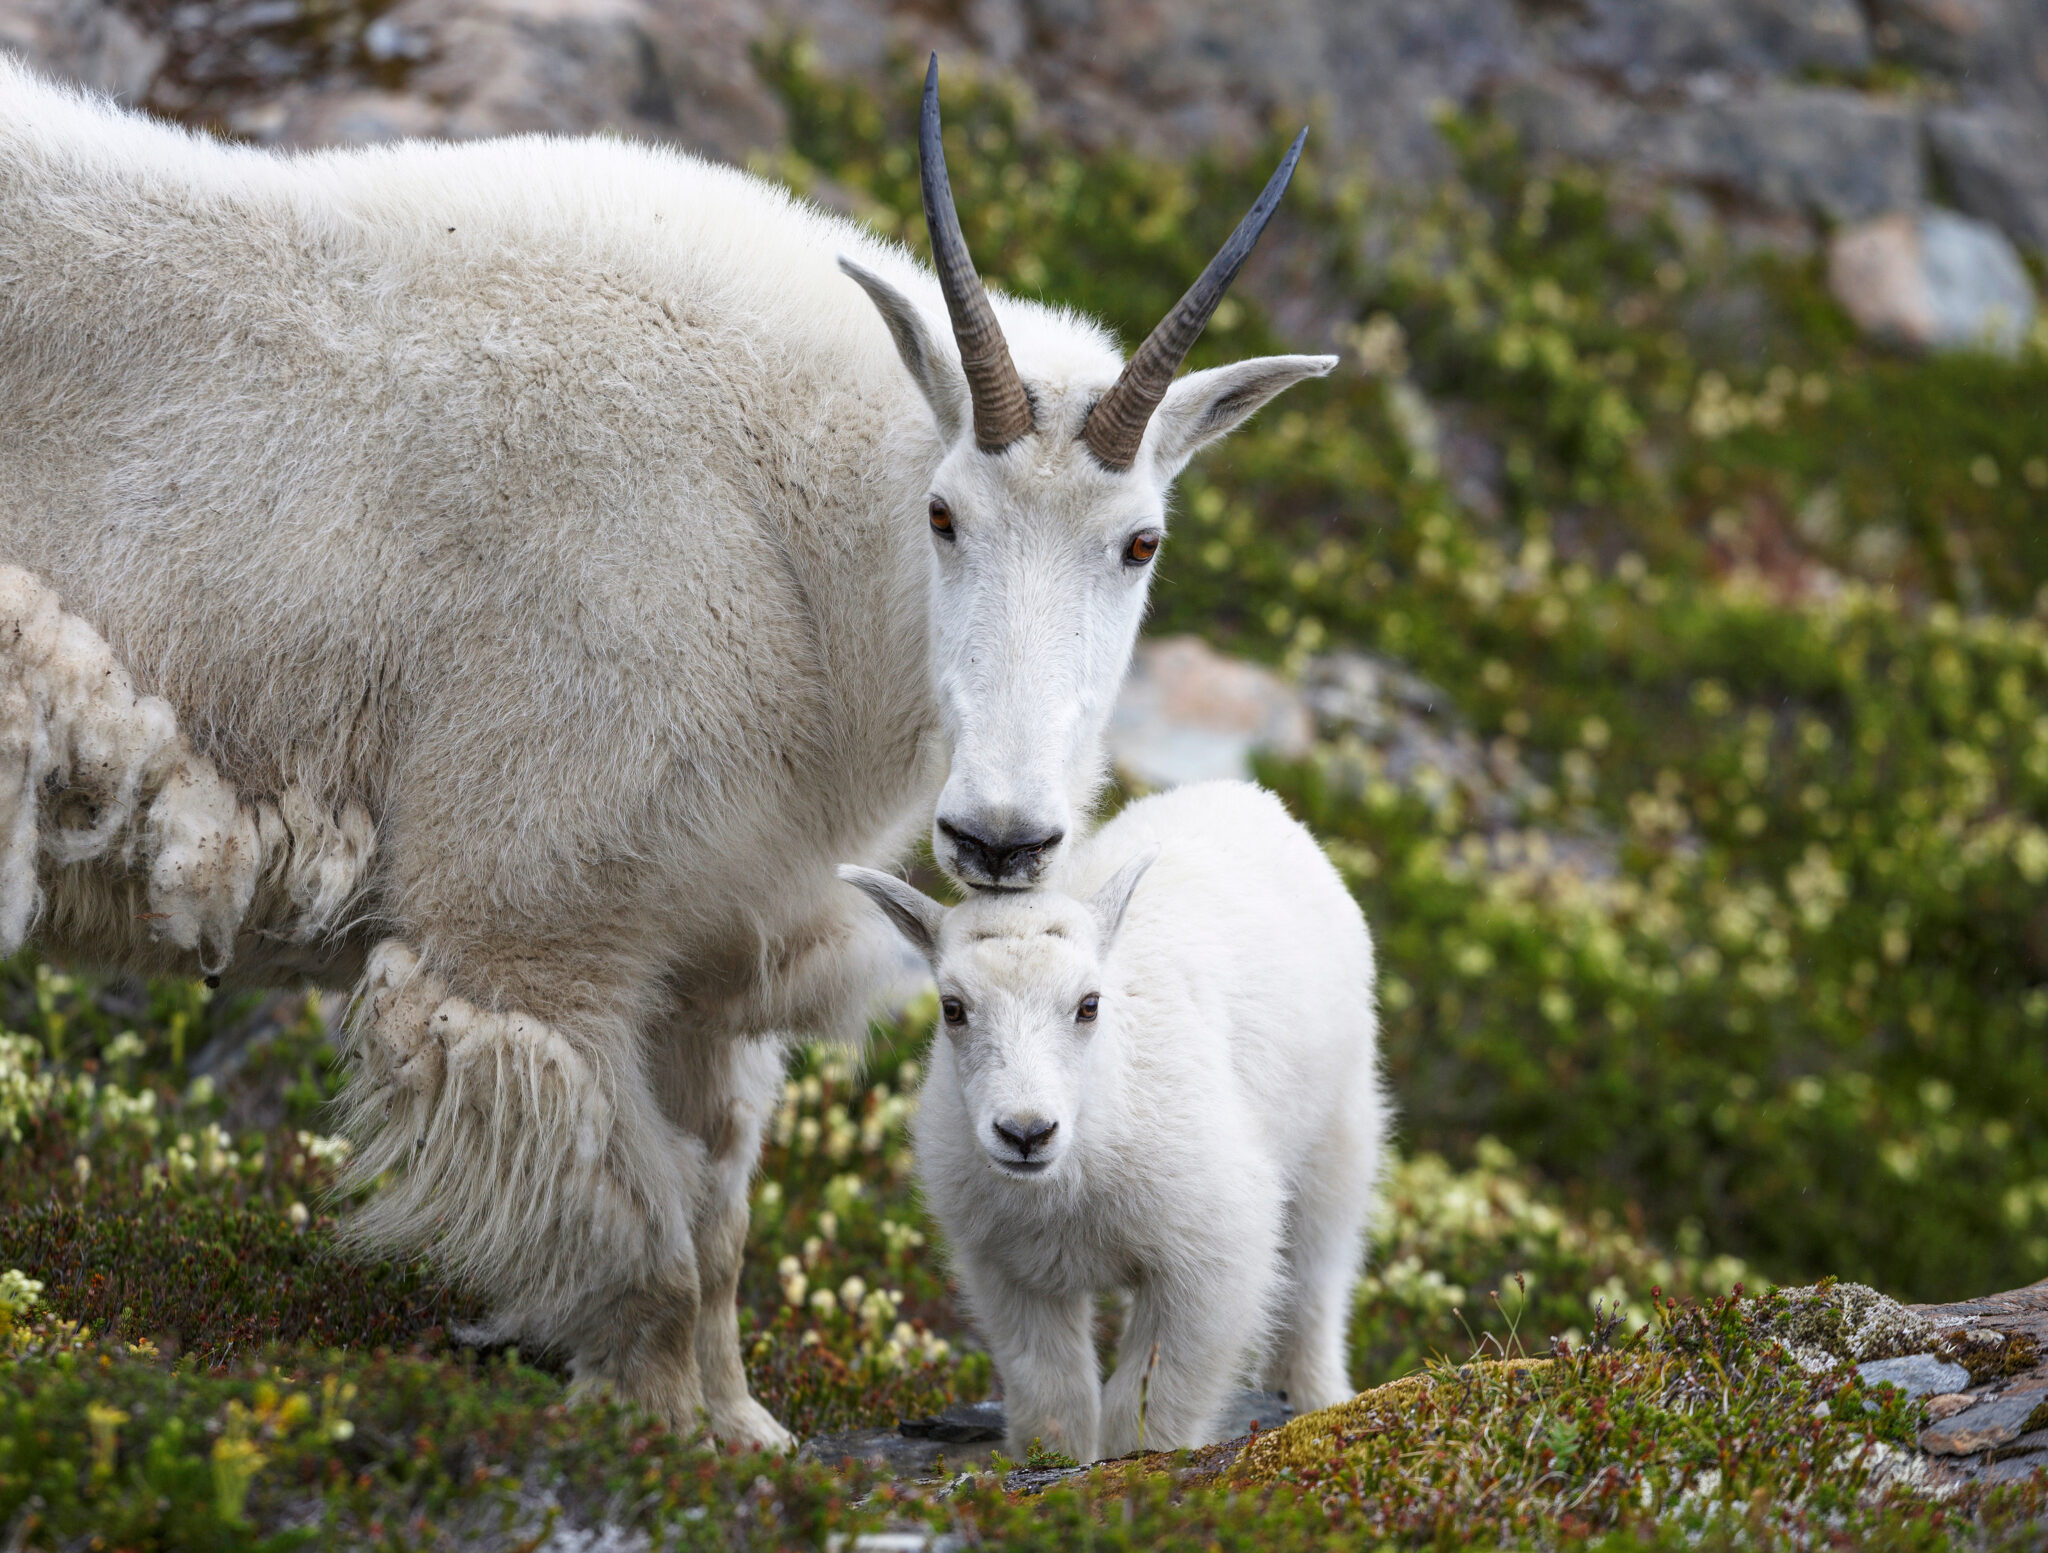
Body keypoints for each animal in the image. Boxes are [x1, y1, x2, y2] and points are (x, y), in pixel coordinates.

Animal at [0, 54, 1334, 1445]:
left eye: (1139, 542)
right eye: (942, 513)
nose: (1001, 836)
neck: (783, 527)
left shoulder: (708, 950)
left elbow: (719, 1218)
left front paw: (742, 1429)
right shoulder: (533, 928)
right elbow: (641, 1232)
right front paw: (656, 1429)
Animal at [841, 780, 1387, 1461]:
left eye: (1088, 1004)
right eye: (952, 1007)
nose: (1026, 1133)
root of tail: (1250, 794)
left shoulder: (1211, 1261)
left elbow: (1149, 1409)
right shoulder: (1009, 1272)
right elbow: (1055, 1400)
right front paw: (1056, 1465)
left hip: (1338, 1135)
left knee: (1314, 1289)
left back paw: (1318, 1400)